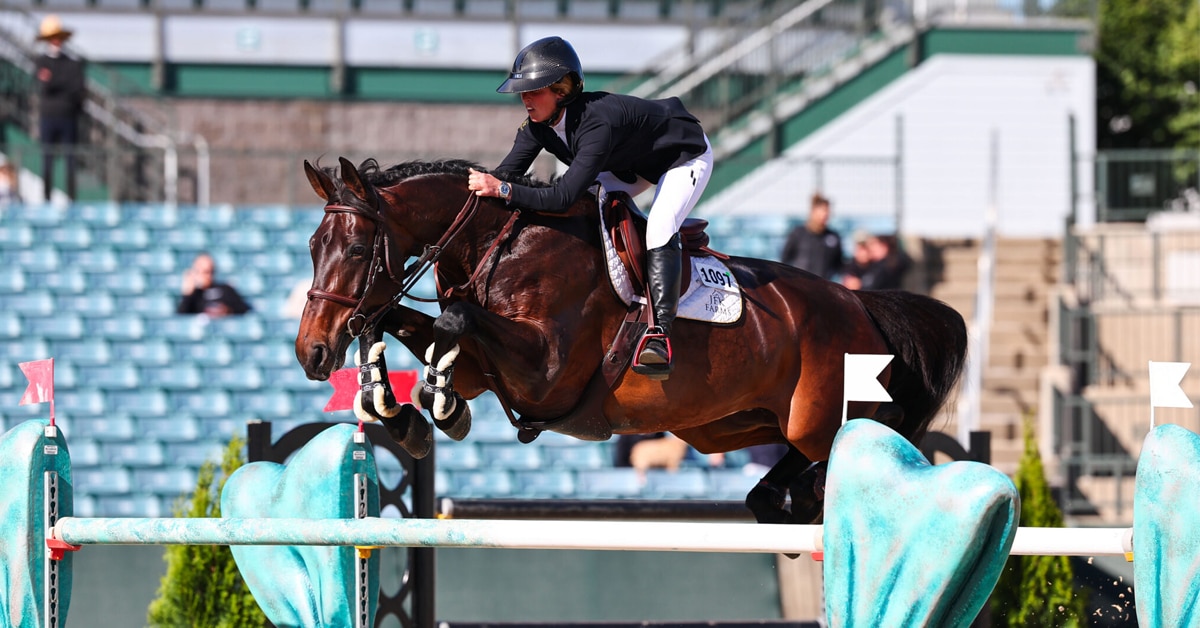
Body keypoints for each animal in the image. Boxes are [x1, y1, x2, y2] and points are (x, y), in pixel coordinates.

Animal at [295, 156, 968, 524]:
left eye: (355, 250)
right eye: (311, 247)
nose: (312, 353)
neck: (498, 246)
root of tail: (859, 302)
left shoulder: (545, 375)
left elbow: (453, 323)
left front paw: (436, 408)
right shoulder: (485, 372)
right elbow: (408, 326)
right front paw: (397, 410)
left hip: (819, 413)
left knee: (868, 440)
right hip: (729, 426)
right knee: (797, 461)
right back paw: (779, 501)